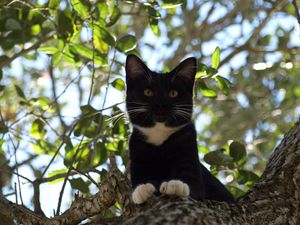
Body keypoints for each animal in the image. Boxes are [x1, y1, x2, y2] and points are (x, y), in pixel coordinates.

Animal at [125, 54, 234, 204]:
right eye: (148, 92)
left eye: (173, 93)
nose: (161, 104)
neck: (159, 135)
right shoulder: (137, 148)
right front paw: (142, 189)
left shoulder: (188, 143)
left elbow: (193, 185)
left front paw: (176, 185)